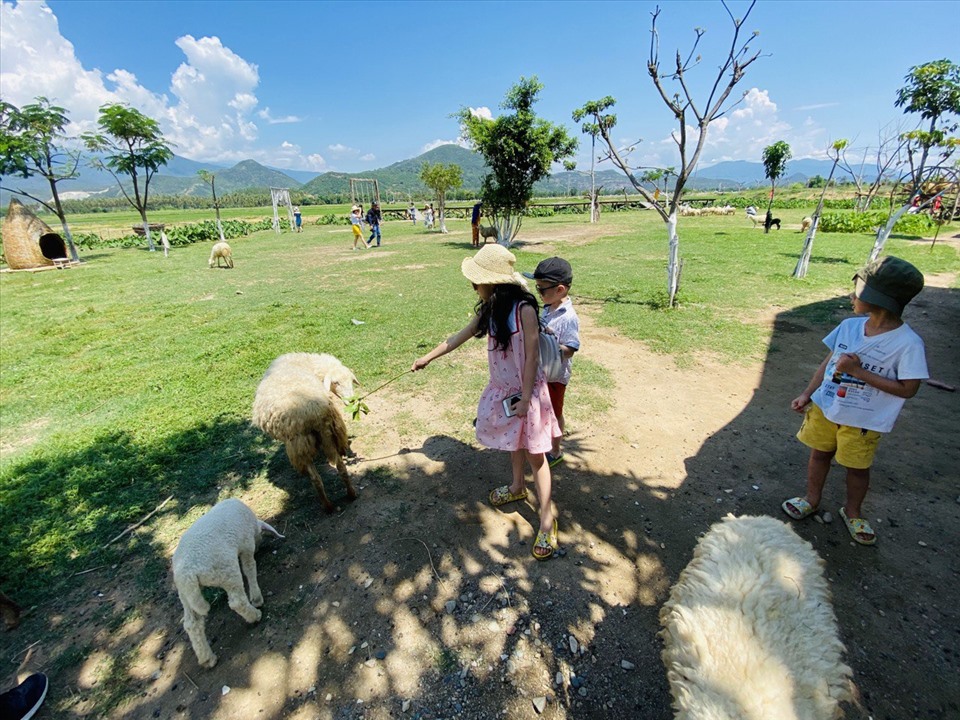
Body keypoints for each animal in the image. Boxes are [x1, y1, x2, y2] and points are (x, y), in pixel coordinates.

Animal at [173, 496, 284, 668]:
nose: (258, 547)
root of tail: (187, 571)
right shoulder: (246, 544)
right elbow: (249, 567)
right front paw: (256, 596)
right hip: (226, 571)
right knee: (237, 601)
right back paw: (255, 615)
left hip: (185, 594)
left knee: (192, 624)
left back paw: (207, 658)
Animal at [251, 352, 360, 512]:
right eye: (336, 382)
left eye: (351, 381)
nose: (352, 400)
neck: (308, 363)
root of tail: (313, 411)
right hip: (328, 435)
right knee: (340, 468)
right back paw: (350, 494)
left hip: (300, 444)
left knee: (315, 478)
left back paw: (327, 506)